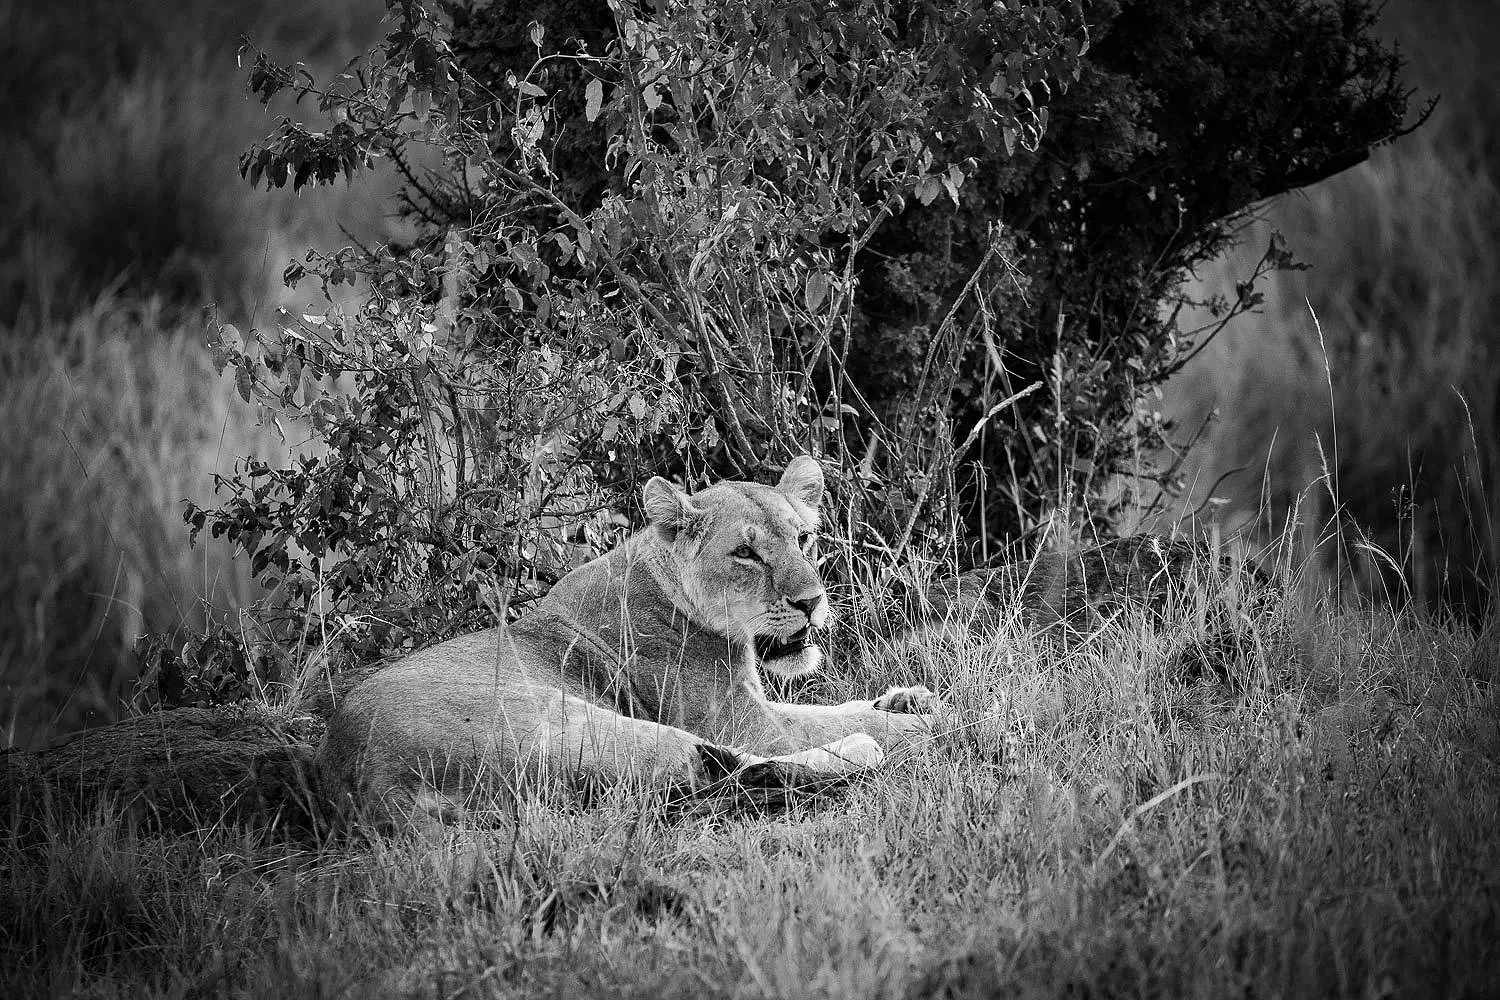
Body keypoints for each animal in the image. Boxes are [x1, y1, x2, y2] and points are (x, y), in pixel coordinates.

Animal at [317, 456, 940, 825]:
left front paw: (905, 699)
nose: (811, 601)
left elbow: (830, 707)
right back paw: (866, 749)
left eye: (805, 538)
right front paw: (911, 722)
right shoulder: (743, 721)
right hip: (568, 721)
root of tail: (361, 778)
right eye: (746, 552)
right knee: (721, 768)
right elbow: (817, 723)